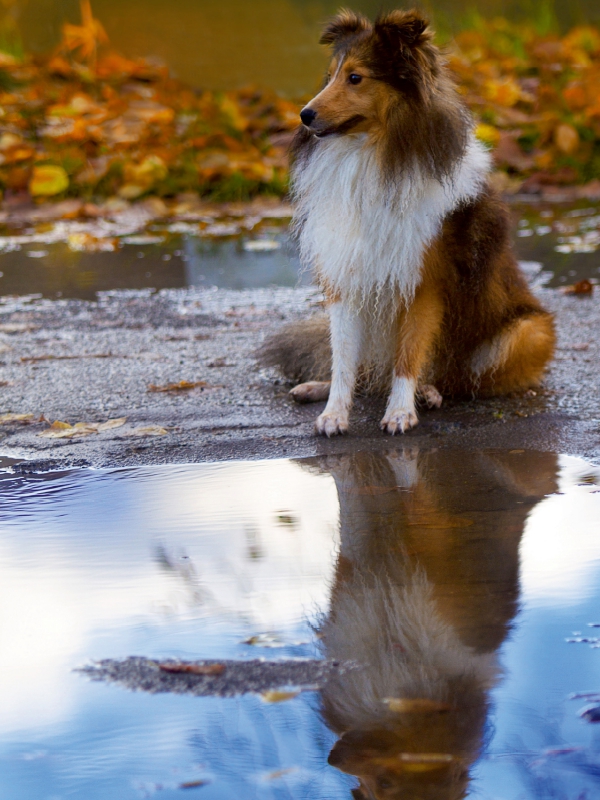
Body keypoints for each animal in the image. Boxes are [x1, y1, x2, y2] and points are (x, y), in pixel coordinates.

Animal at [260, 6, 556, 438]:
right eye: (331, 75)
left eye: (355, 77)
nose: (304, 115)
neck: (374, 158)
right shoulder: (348, 275)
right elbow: (343, 358)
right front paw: (334, 413)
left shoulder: (422, 280)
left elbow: (410, 353)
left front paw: (400, 412)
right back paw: (316, 386)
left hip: (528, 333)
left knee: (455, 378)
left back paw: (429, 393)